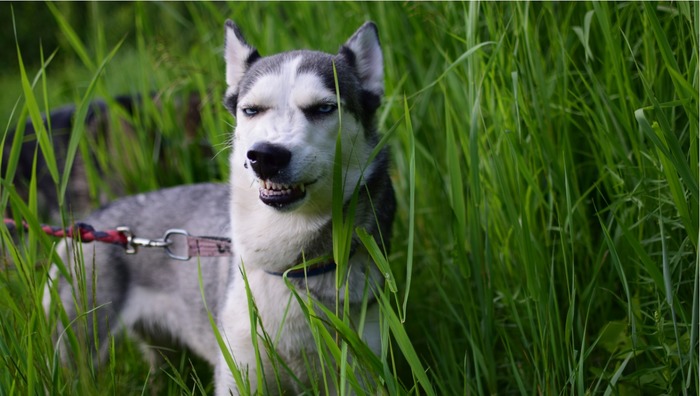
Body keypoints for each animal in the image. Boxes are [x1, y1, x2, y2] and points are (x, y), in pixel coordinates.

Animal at [43, 17, 394, 392]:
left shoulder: (359, 372)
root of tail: (94, 223)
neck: (289, 267)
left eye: (324, 108)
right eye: (251, 110)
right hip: (80, 350)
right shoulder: (240, 371)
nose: (265, 156)